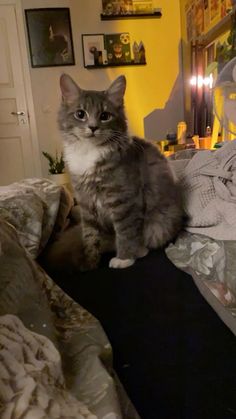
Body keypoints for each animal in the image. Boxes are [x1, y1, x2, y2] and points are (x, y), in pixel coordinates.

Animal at [58, 74, 183, 270]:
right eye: (80, 114)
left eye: (104, 116)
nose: (93, 127)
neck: (88, 152)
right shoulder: (86, 203)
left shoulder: (124, 200)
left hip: (159, 225)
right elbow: (90, 235)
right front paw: (90, 262)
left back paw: (138, 251)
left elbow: (125, 233)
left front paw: (124, 258)